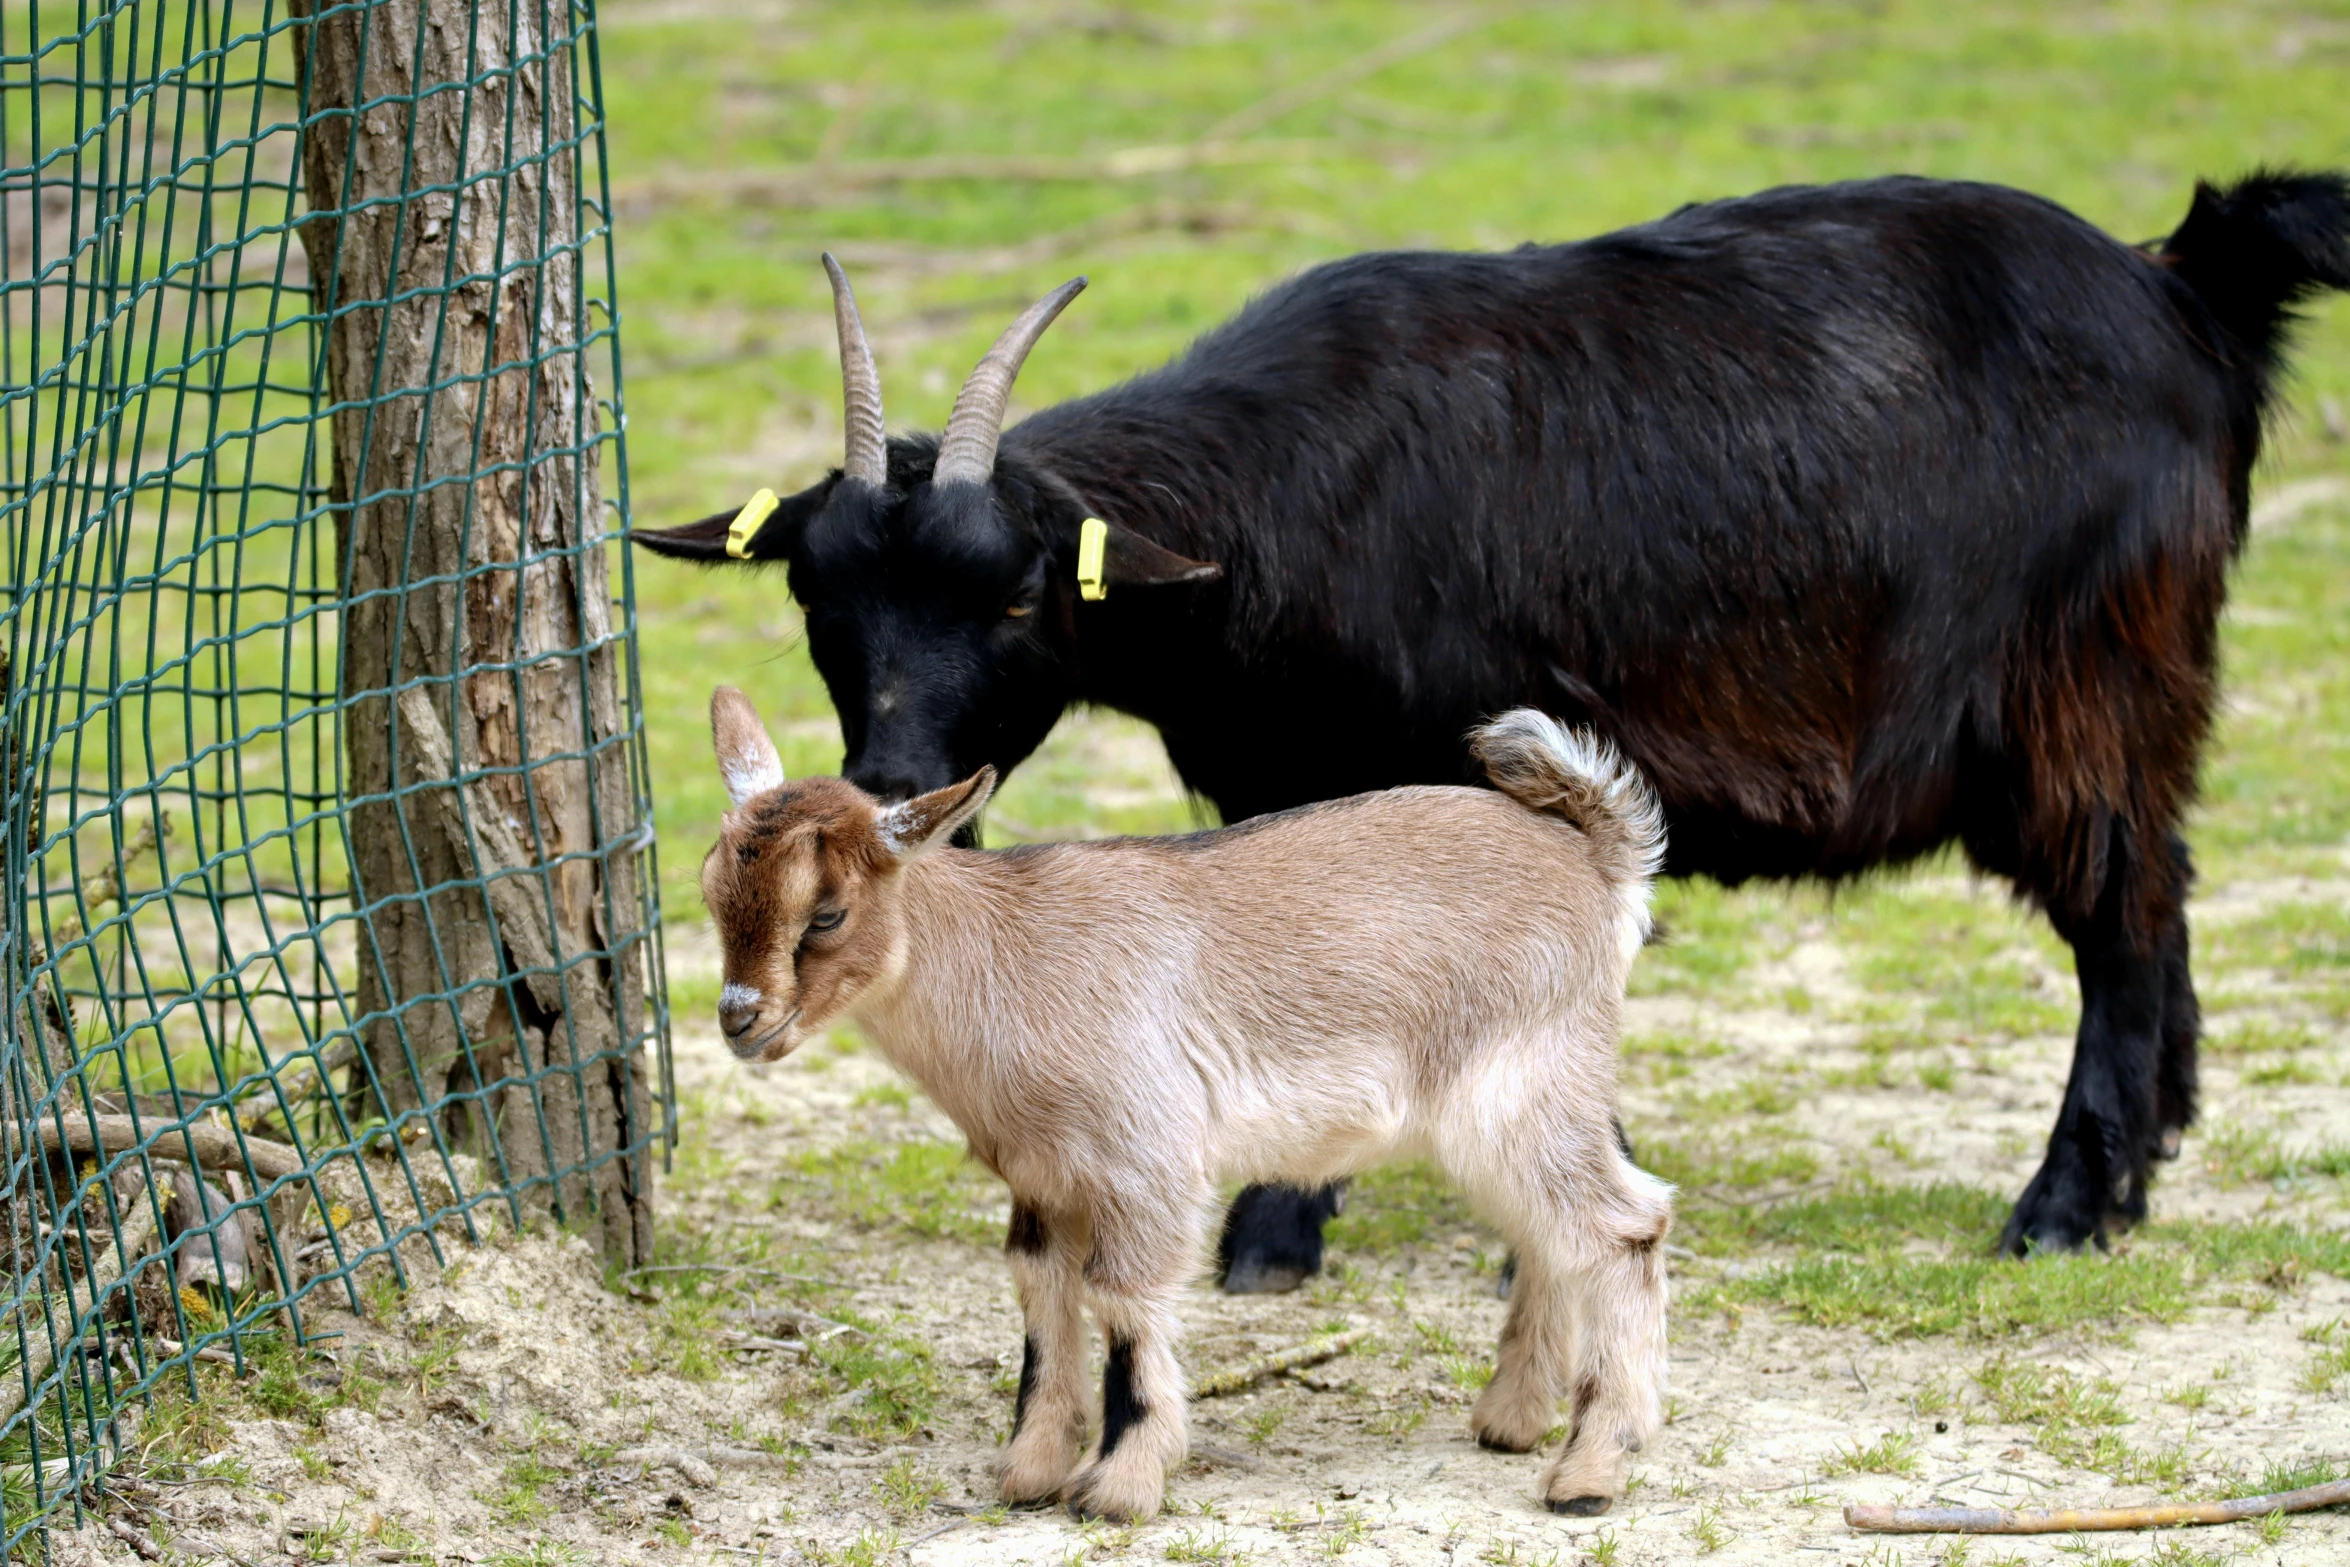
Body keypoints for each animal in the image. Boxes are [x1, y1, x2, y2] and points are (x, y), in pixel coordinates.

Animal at [634, 171, 2350, 1287]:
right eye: (816, 597)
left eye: (1011, 596)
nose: (892, 786)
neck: (1282, 513)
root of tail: (2182, 286)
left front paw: (1293, 1231)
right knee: (2162, 894)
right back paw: (2144, 1160)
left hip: (2081, 686)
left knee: (2122, 912)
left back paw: (2063, 1204)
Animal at [695, 686, 1673, 1522]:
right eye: (712, 891)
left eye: (827, 913)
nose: (741, 1018)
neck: (1006, 959)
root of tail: (1599, 858)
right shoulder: (1042, 1177)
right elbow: (1041, 1297)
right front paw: (1029, 1471)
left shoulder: (1144, 1160)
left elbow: (1124, 1302)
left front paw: (1119, 1487)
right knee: (1550, 1236)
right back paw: (1512, 1419)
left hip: (1523, 1088)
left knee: (1626, 1224)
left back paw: (1588, 1471)